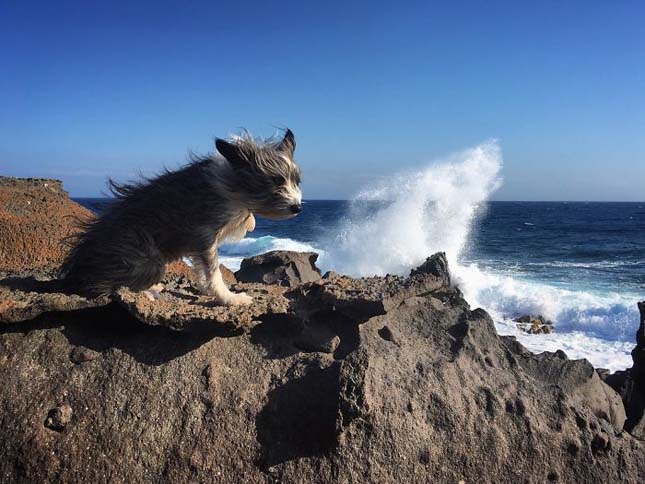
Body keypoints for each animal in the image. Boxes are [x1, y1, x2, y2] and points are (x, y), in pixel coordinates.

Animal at [60, 127, 302, 302]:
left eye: (297, 181)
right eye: (276, 181)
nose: (297, 208)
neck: (235, 186)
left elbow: (203, 271)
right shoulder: (204, 235)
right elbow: (213, 272)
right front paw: (229, 298)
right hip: (147, 259)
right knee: (99, 286)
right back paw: (145, 291)